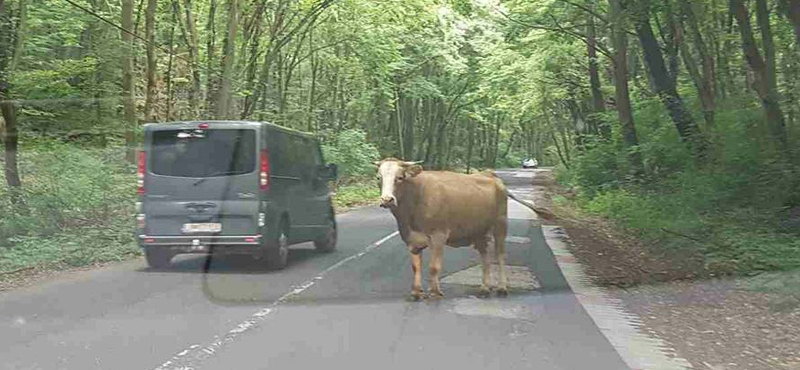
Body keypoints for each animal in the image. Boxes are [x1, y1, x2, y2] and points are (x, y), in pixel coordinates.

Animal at [374, 158, 506, 300]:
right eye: (378, 177)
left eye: (399, 177)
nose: (387, 199)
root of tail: (488, 174)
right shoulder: (411, 239)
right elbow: (416, 266)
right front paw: (416, 292)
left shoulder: (439, 234)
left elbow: (434, 266)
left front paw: (435, 292)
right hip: (479, 232)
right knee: (485, 258)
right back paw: (485, 288)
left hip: (500, 225)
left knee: (500, 256)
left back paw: (502, 288)